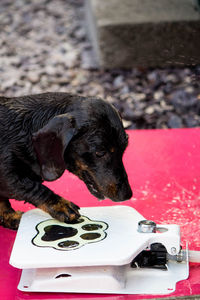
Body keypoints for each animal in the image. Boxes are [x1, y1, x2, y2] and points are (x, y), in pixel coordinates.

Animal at [0, 93, 133, 230]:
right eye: (100, 152)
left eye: (124, 149)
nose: (127, 195)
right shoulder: (8, 175)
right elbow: (33, 187)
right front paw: (62, 205)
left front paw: (9, 216)